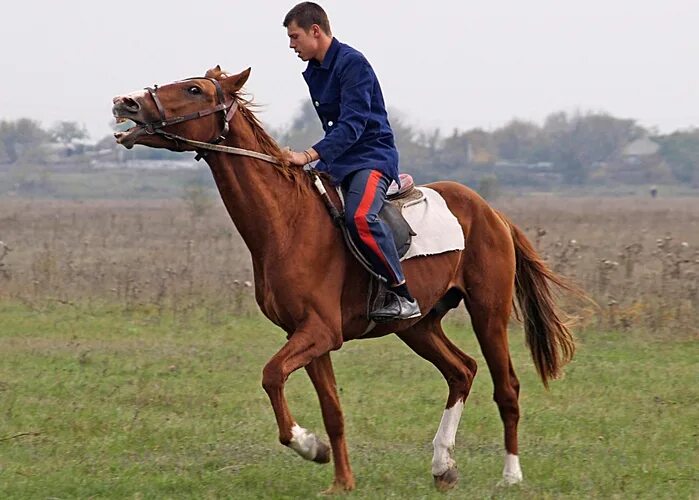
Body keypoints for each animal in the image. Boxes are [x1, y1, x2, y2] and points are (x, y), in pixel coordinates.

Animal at [112, 65, 576, 492]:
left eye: (194, 89)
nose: (125, 102)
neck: (287, 222)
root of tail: (491, 212)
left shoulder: (320, 332)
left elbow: (271, 375)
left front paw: (307, 445)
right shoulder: (306, 336)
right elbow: (331, 410)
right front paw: (341, 481)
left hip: (487, 313)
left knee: (507, 388)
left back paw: (510, 475)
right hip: (418, 325)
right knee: (461, 371)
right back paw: (443, 466)